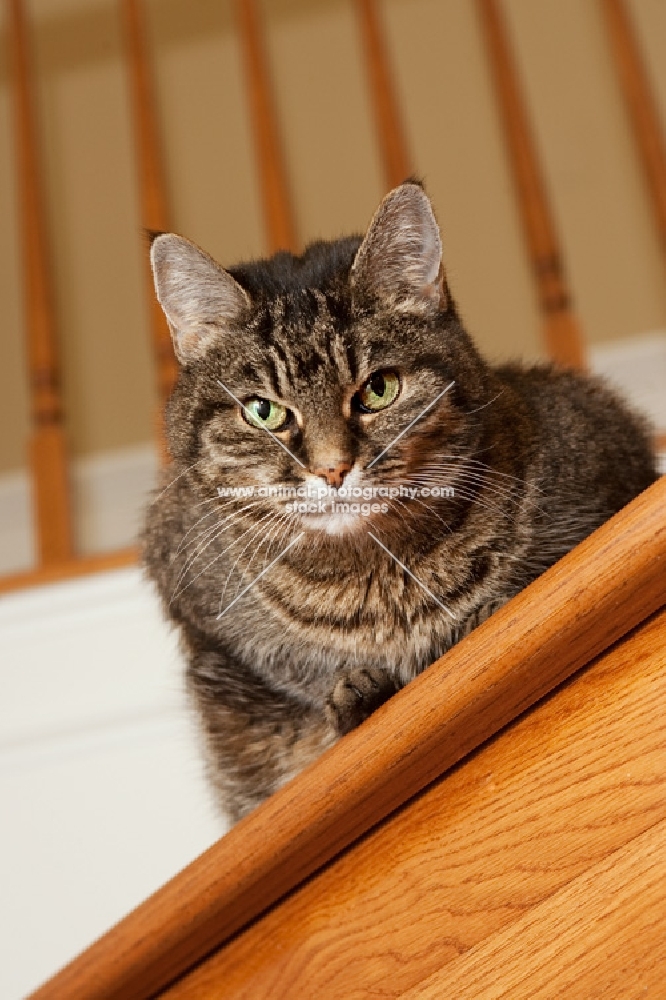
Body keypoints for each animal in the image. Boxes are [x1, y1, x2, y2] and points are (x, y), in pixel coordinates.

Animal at [141, 180, 652, 820]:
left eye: (379, 388)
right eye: (263, 411)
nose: (333, 468)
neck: (381, 584)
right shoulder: (193, 598)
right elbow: (299, 700)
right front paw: (355, 693)